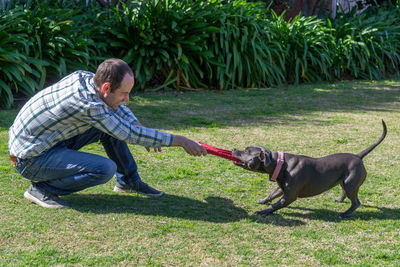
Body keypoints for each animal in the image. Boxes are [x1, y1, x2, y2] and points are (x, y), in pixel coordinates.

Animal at [233, 121, 386, 220]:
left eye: (247, 151)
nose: (234, 148)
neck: (280, 164)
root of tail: (358, 156)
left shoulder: (289, 196)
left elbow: (276, 205)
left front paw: (263, 211)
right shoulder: (281, 189)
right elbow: (271, 195)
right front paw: (263, 201)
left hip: (350, 184)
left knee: (356, 202)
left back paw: (345, 214)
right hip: (345, 182)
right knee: (346, 192)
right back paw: (339, 200)